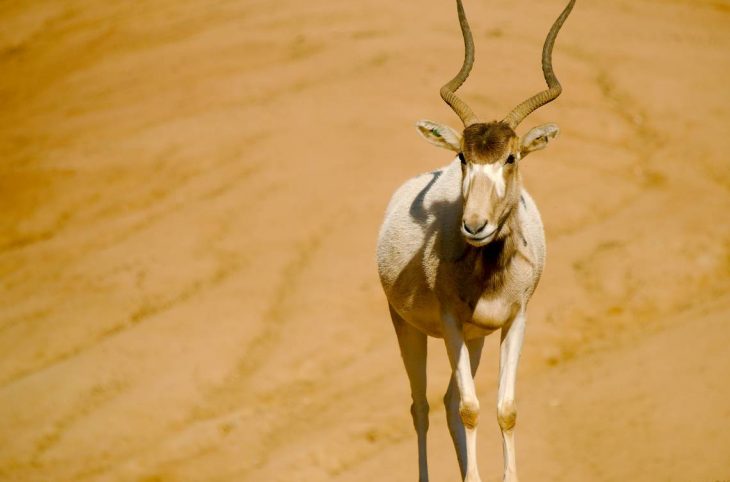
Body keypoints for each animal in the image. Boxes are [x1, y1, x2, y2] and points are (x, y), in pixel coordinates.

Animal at [376, 0, 576, 482]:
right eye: (462, 156)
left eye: (512, 157)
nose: (475, 225)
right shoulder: (449, 322)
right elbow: (470, 408)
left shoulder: (515, 319)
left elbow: (504, 409)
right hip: (410, 327)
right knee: (423, 407)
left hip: (476, 338)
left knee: (448, 401)